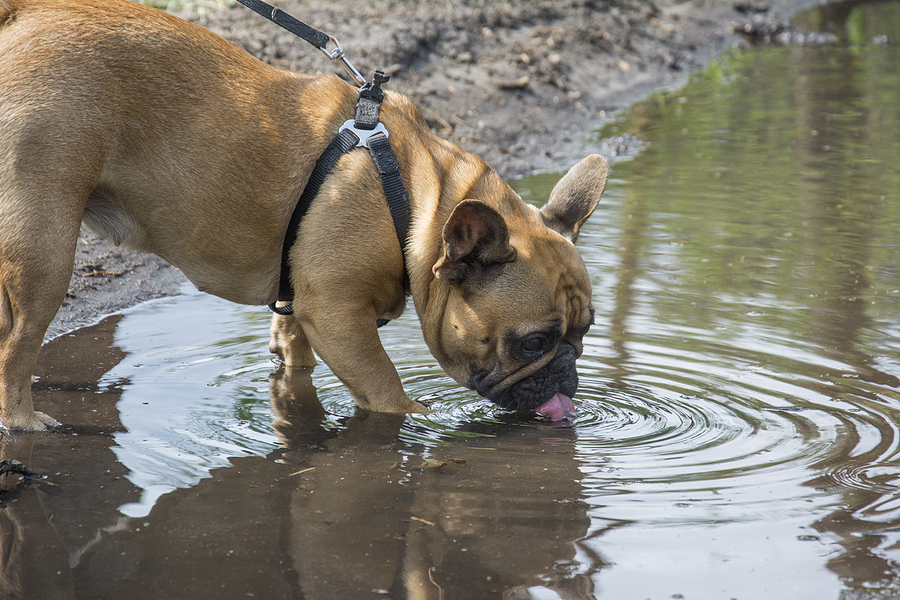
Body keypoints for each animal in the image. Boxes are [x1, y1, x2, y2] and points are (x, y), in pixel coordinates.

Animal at [0, 0, 608, 432]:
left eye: (585, 332)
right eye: (532, 343)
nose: (569, 374)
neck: (417, 199)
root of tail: (25, 14)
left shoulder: (302, 297)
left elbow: (294, 348)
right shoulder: (337, 314)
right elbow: (386, 388)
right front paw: (417, 422)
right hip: (44, 245)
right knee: (18, 344)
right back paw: (25, 420)